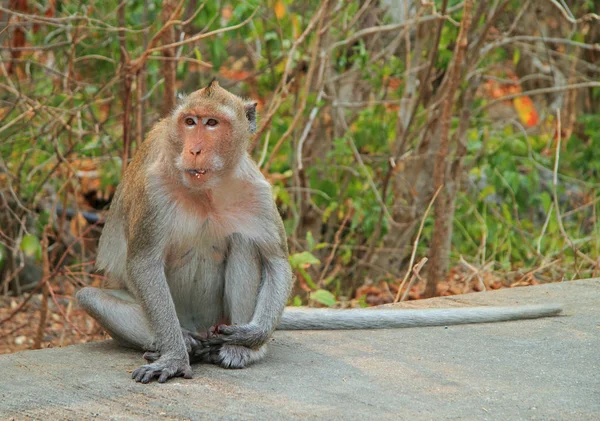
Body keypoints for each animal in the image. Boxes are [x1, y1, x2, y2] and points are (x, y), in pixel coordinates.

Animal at [76, 79, 564, 384]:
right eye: (190, 121)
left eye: (212, 123)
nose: (194, 148)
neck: (207, 189)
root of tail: (200, 325)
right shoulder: (155, 190)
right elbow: (143, 262)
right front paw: (175, 359)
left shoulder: (257, 189)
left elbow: (275, 260)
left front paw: (252, 337)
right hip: (179, 319)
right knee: (93, 298)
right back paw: (184, 346)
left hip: (220, 317)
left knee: (243, 247)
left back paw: (240, 348)